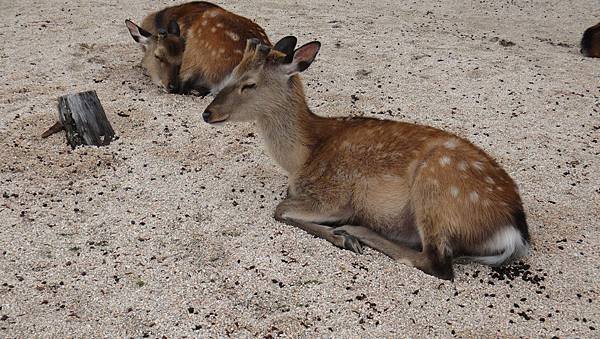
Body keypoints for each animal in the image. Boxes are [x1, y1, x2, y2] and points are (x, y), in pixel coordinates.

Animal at [203, 37, 528, 282]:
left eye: (249, 83)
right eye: (231, 72)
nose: (207, 113)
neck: (301, 158)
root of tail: (514, 230)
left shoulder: (333, 195)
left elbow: (280, 210)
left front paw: (341, 237)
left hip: (436, 188)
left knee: (437, 263)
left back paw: (355, 231)